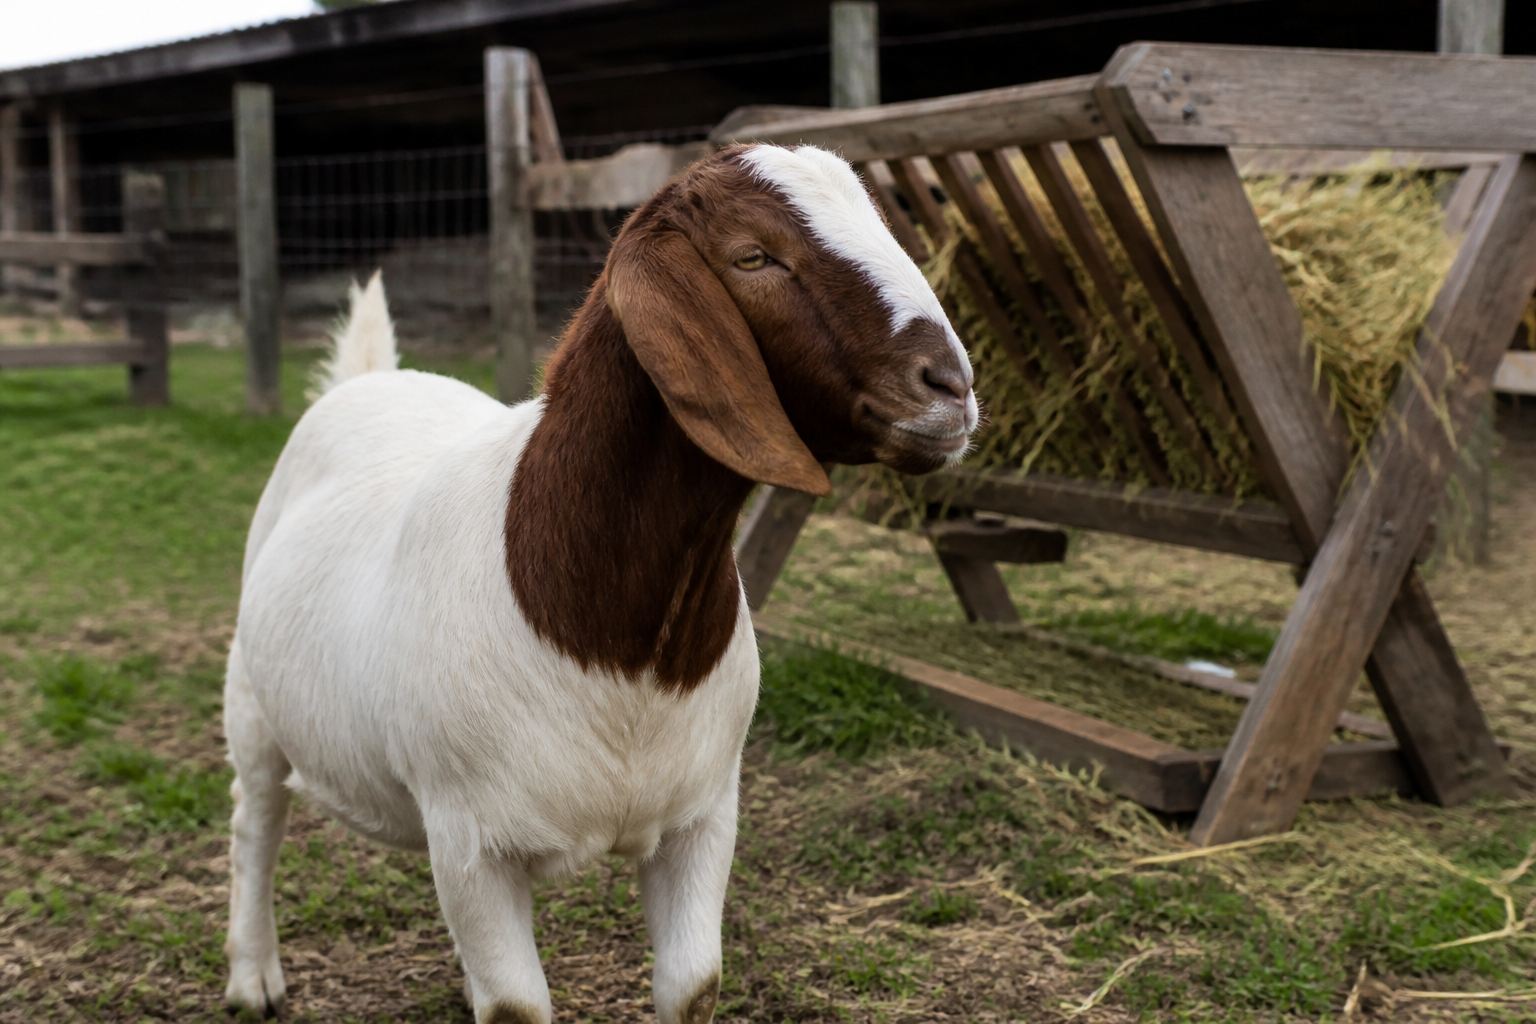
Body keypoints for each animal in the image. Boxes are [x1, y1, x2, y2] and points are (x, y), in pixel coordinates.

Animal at [222, 143, 978, 1024]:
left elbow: (691, 985)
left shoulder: (703, 817)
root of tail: (368, 380)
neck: (620, 647)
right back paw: (252, 979)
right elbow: (516, 1007)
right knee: (256, 821)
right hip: (252, 702)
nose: (951, 387)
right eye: (752, 257)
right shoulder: (471, 843)